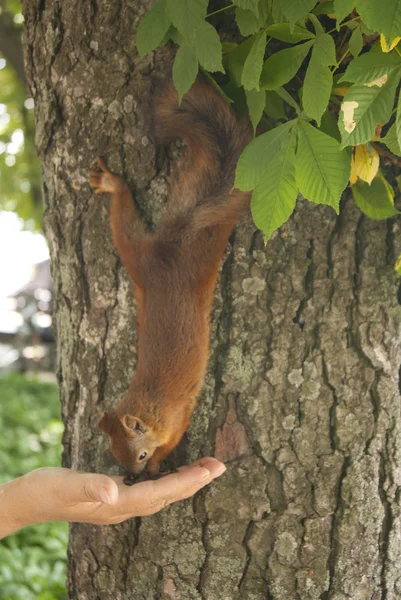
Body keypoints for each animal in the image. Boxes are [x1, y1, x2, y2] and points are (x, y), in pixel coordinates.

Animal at [88, 75, 250, 480]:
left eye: (141, 453)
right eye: (114, 453)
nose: (131, 478)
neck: (149, 401)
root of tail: (174, 245)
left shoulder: (177, 420)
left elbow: (173, 441)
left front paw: (160, 466)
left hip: (188, 256)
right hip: (138, 258)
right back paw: (112, 184)